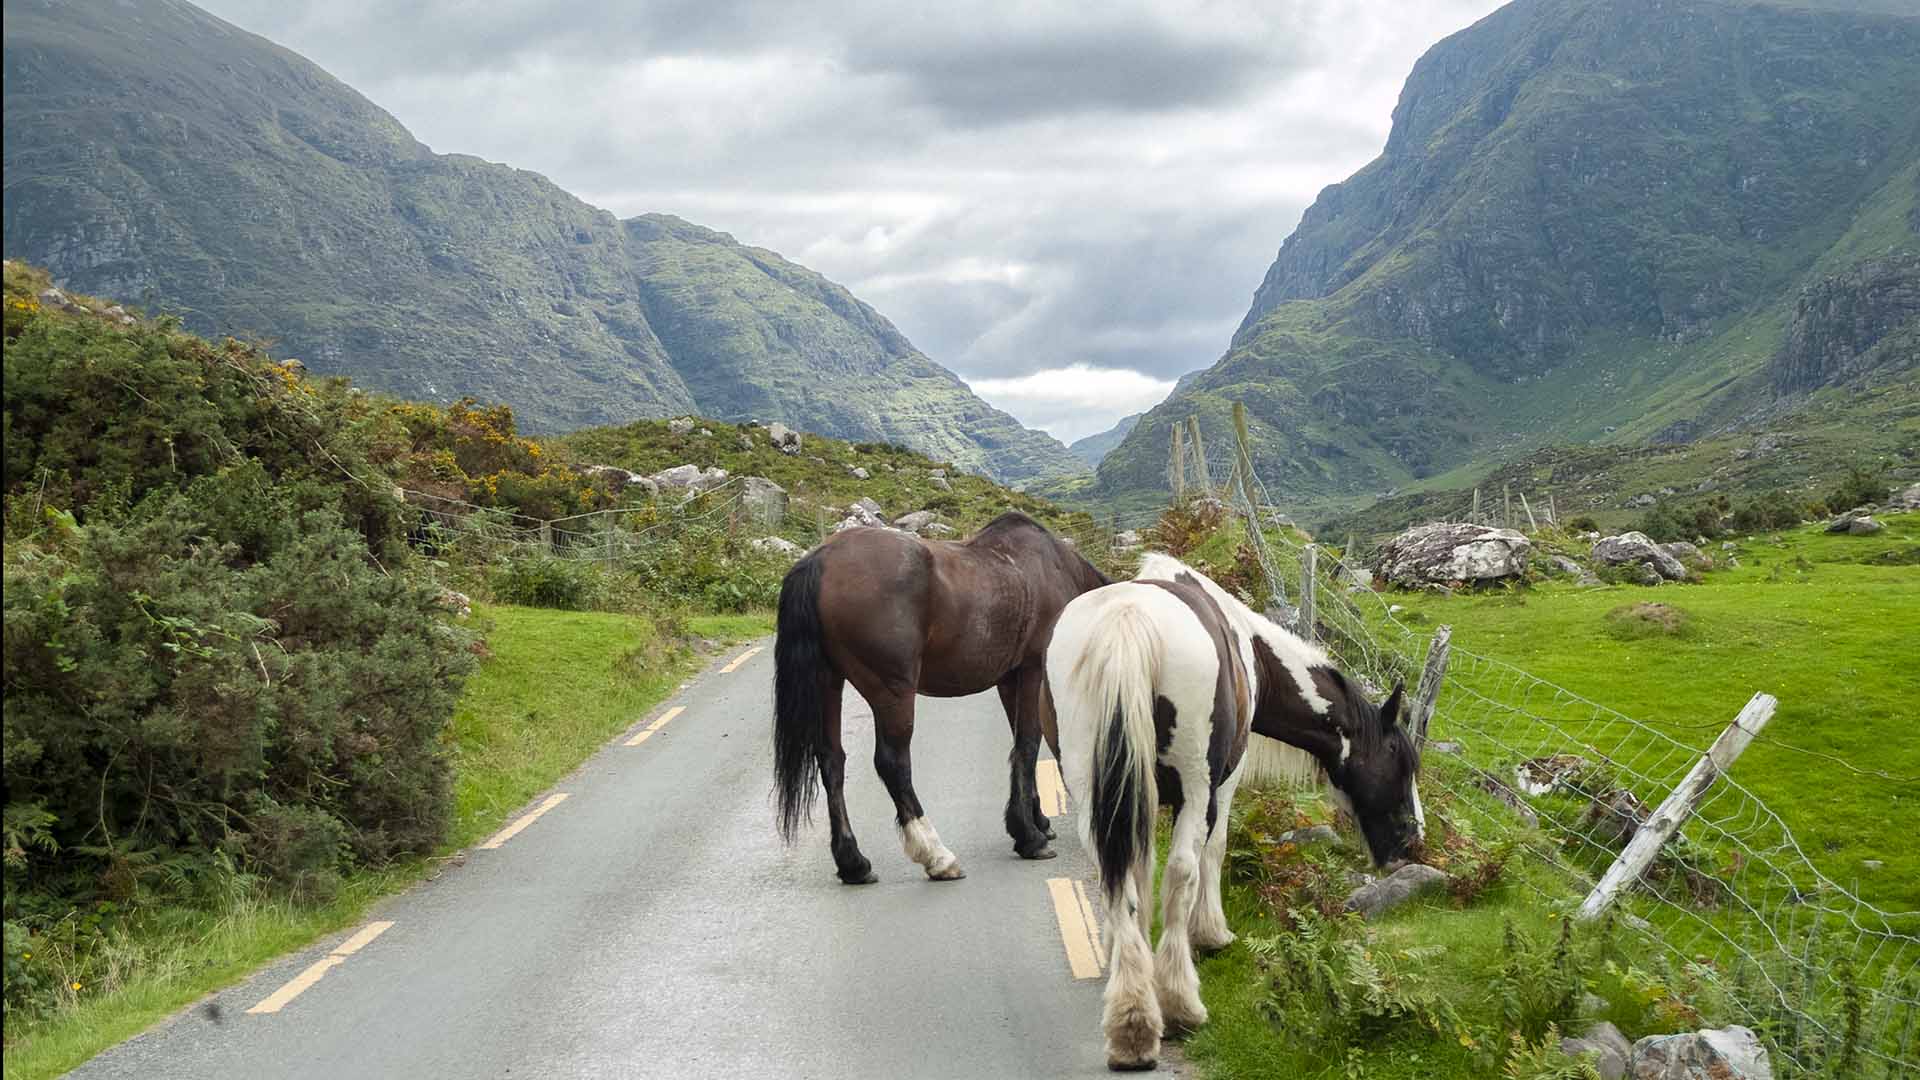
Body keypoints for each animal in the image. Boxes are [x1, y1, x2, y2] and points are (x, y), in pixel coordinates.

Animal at [768, 507, 1105, 880]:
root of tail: (822, 558)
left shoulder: (1009, 679)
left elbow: (1020, 746)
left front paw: (1036, 821)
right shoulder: (1031, 671)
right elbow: (1029, 745)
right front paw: (1030, 837)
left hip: (829, 682)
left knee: (832, 762)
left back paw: (853, 863)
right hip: (893, 692)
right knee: (893, 764)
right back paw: (937, 855)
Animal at [1052, 553, 1428, 1068]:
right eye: (1400, 759)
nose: (1413, 841)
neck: (1250, 651)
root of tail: (1127, 622)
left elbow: (1138, 874)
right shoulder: (1222, 786)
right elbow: (1214, 852)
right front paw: (1210, 934)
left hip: (1091, 790)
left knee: (1115, 874)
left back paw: (1132, 1014)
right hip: (1195, 788)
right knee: (1182, 870)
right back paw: (1173, 1010)